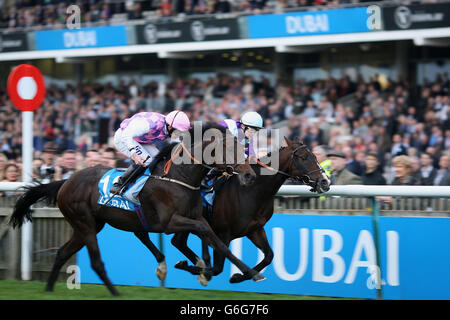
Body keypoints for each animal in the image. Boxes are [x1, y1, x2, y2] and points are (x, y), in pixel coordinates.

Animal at [8, 122, 260, 296]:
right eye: (229, 149)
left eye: (243, 148)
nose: (249, 175)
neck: (180, 177)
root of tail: (66, 182)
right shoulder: (170, 222)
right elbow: (203, 233)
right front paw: (204, 268)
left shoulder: (197, 216)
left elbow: (216, 240)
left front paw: (248, 272)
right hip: (85, 223)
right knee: (96, 262)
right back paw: (115, 293)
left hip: (88, 225)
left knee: (62, 252)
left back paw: (49, 289)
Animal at [174, 137, 328, 282]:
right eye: (303, 157)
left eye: (315, 156)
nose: (325, 182)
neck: (253, 191)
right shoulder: (223, 233)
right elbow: (218, 267)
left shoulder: (255, 229)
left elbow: (269, 256)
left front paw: (239, 277)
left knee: (178, 242)